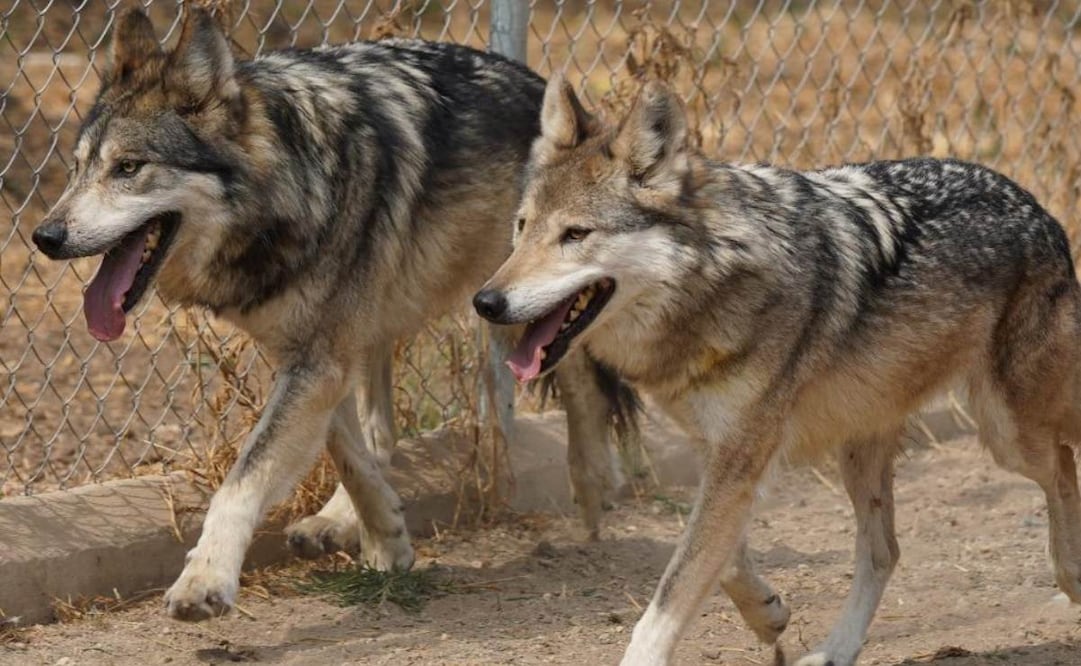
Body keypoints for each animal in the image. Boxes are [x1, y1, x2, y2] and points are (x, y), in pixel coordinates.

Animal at [30, 8, 636, 621]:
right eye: (76, 169)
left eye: (128, 167)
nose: (44, 237)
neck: (290, 184)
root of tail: (540, 85)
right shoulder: (310, 355)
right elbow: (347, 450)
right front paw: (386, 536)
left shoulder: (320, 360)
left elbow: (244, 478)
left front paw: (205, 579)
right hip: (383, 325)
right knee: (381, 428)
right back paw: (338, 520)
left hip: (512, 307)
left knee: (584, 386)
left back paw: (594, 490)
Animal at [475, 76, 1081, 665]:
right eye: (522, 228)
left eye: (575, 235)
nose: (486, 302)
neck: (714, 276)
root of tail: (1037, 207)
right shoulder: (723, 454)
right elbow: (721, 558)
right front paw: (768, 614)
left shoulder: (741, 455)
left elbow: (671, 594)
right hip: (861, 449)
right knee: (885, 551)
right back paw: (836, 651)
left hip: (1006, 435)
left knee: (1061, 466)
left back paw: (1070, 574)